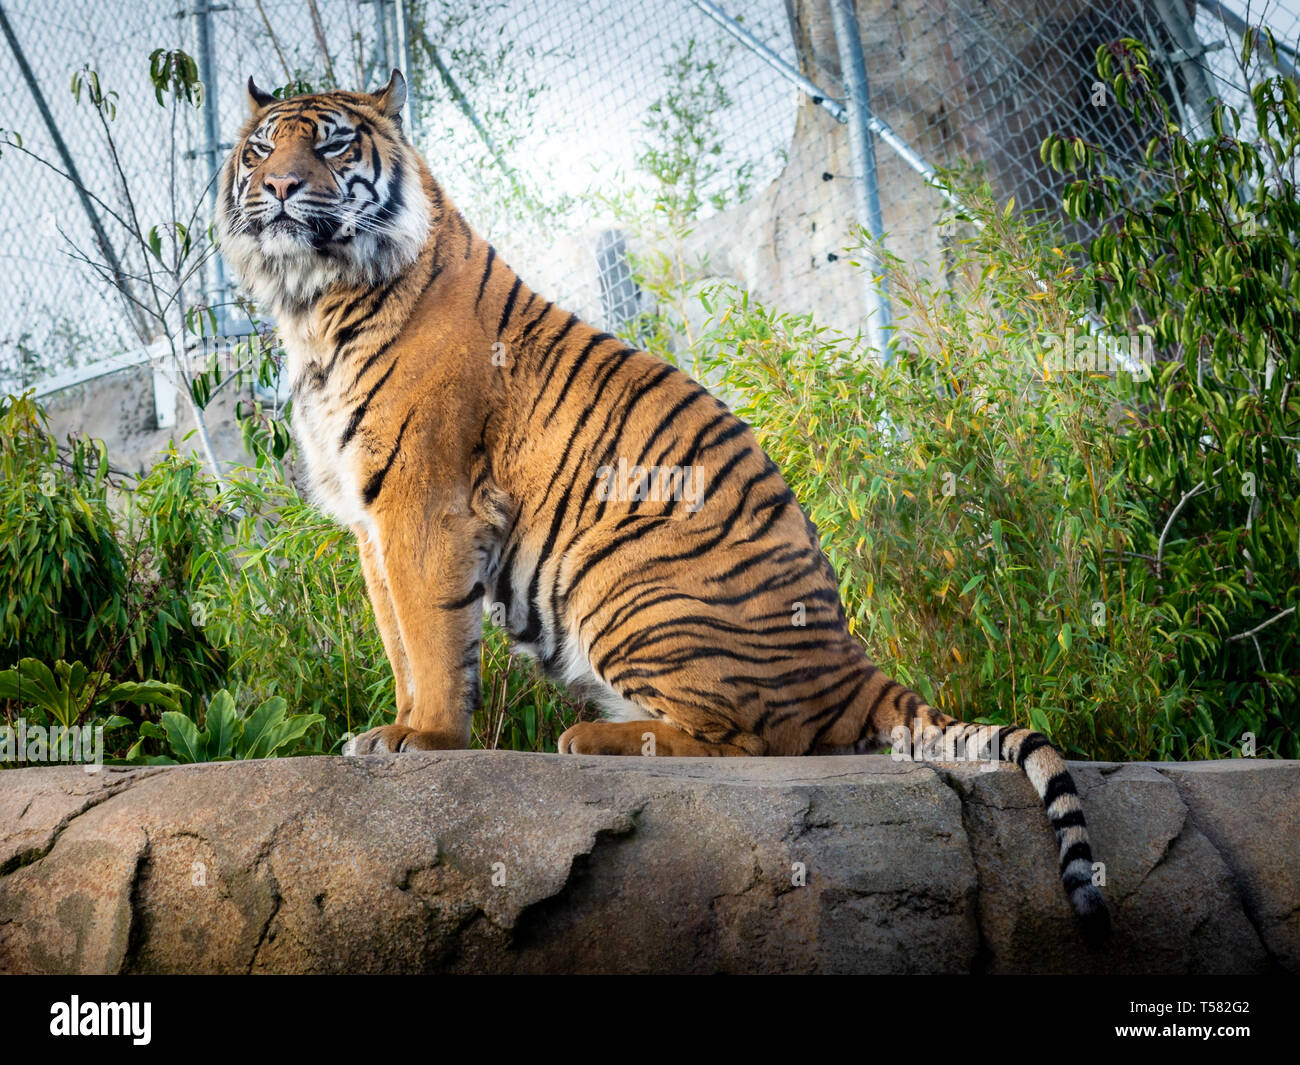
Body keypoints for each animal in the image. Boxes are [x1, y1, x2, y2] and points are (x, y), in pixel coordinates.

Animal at [218, 68, 1112, 941]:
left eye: (333, 143)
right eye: (262, 148)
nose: (280, 186)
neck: (314, 302)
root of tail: (852, 659)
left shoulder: (425, 500)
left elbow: (434, 642)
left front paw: (426, 738)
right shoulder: (371, 522)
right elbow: (401, 640)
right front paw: (389, 730)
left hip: (622, 585)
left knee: (759, 744)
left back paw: (588, 737)